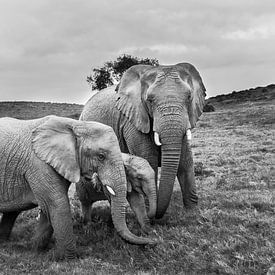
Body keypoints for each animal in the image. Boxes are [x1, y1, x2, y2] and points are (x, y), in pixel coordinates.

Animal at [0, 115, 155, 260]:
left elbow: (48, 208)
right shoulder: (39, 164)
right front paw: (67, 259)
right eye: (101, 156)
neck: (76, 125)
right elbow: (56, 204)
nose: (152, 242)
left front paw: (36, 250)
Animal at [81, 62, 206, 218]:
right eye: (149, 100)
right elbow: (149, 159)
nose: (156, 214)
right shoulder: (132, 121)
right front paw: (149, 213)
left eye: (189, 97)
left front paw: (192, 214)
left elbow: (185, 161)